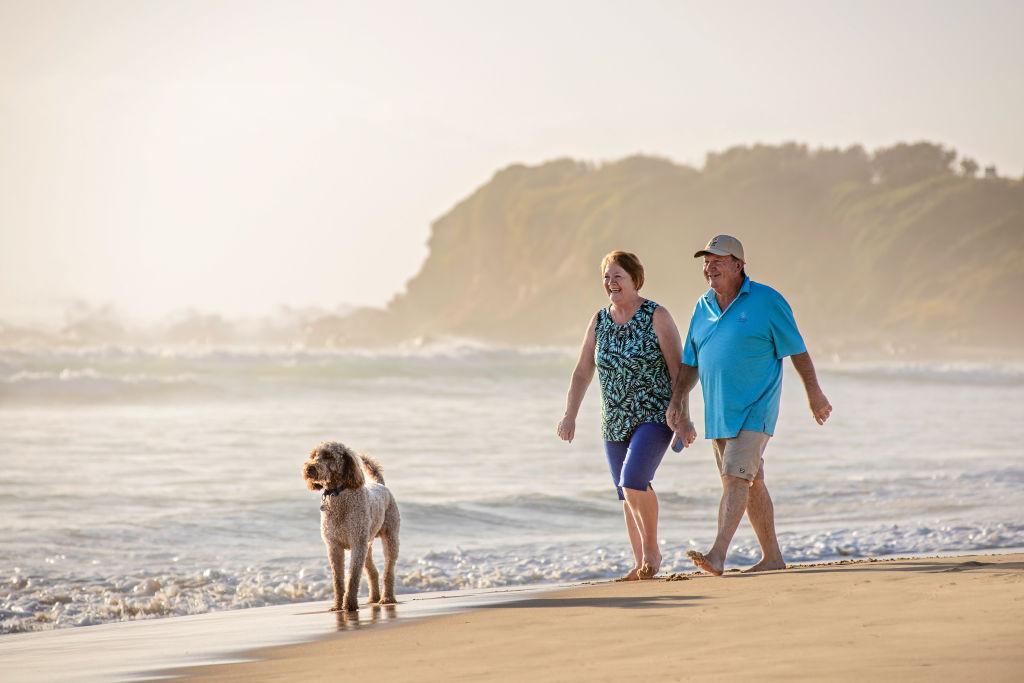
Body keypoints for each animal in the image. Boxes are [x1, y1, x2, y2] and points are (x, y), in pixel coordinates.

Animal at [299, 444, 399, 614]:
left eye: (328, 455)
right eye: (313, 455)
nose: (309, 468)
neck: (337, 494)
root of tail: (380, 484)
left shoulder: (357, 545)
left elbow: (353, 577)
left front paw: (350, 605)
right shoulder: (334, 547)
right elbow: (337, 580)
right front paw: (337, 606)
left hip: (390, 538)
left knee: (388, 570)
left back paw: (387, 598)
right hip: (367, 546)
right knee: (373, 572)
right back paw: (373, 598)